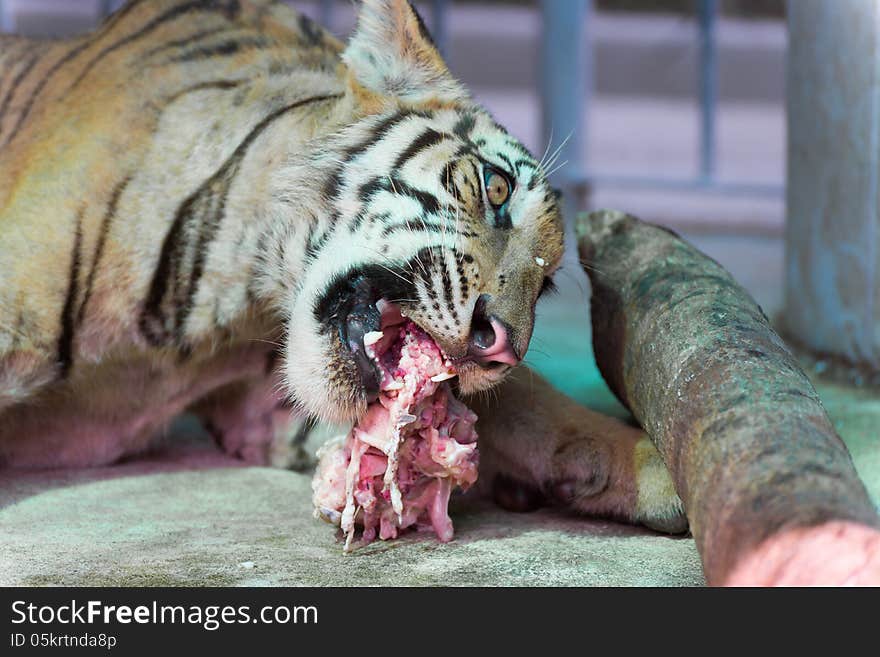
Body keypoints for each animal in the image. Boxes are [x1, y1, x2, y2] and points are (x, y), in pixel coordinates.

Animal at [0, 0, 688, 532]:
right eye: (496, 189)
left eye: (545, 287)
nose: (500, 348)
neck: (245, 301)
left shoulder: (262, 407)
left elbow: (525, 406)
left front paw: (653, 469)